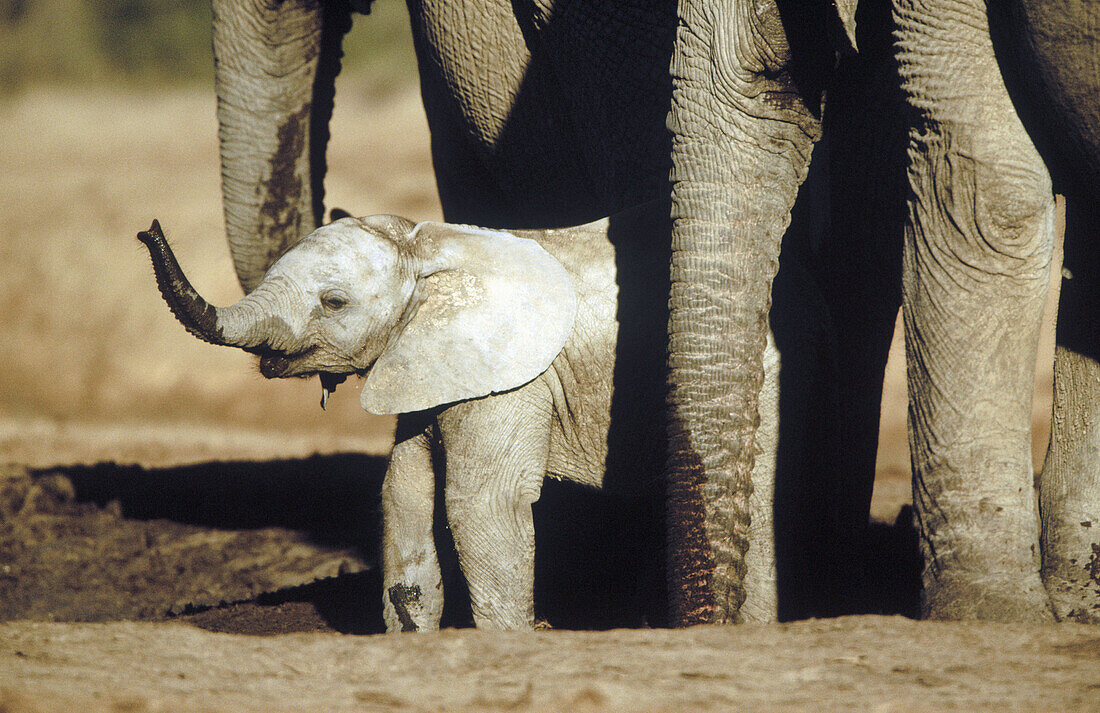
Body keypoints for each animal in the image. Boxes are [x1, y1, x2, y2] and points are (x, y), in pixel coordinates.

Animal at [137, 204, 668, 629]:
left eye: (334, 302)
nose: (148, 230)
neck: (428, 246)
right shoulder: (429, 366)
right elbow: (403, 493)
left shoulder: (513, 377)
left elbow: (483, 506)